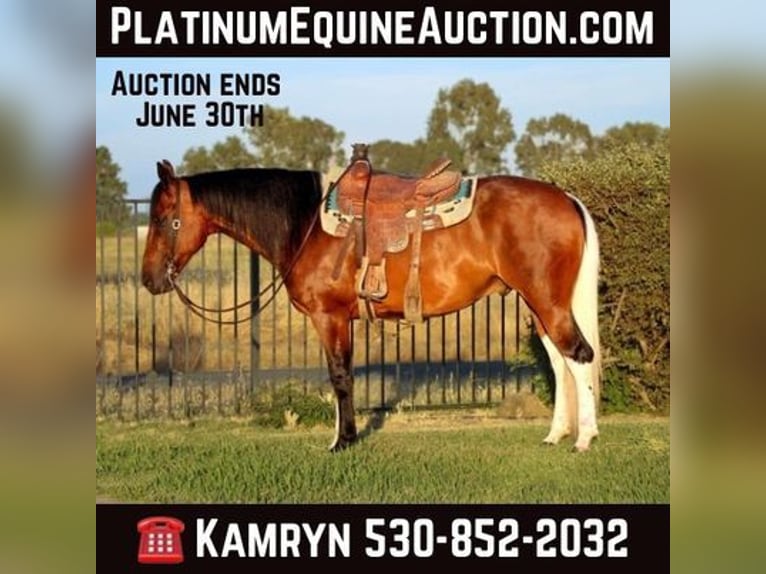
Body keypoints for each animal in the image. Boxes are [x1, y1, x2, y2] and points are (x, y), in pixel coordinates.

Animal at [141, 159, 601, 452]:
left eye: (163, 219)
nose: (149, 279)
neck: (305, 224)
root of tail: (567, 198)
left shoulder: (329, 318)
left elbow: (340, 377)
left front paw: (342, 441)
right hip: (539, 306)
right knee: (560, 362)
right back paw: (556, 435)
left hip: (547, 301)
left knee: (579, 355)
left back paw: (584, 438)